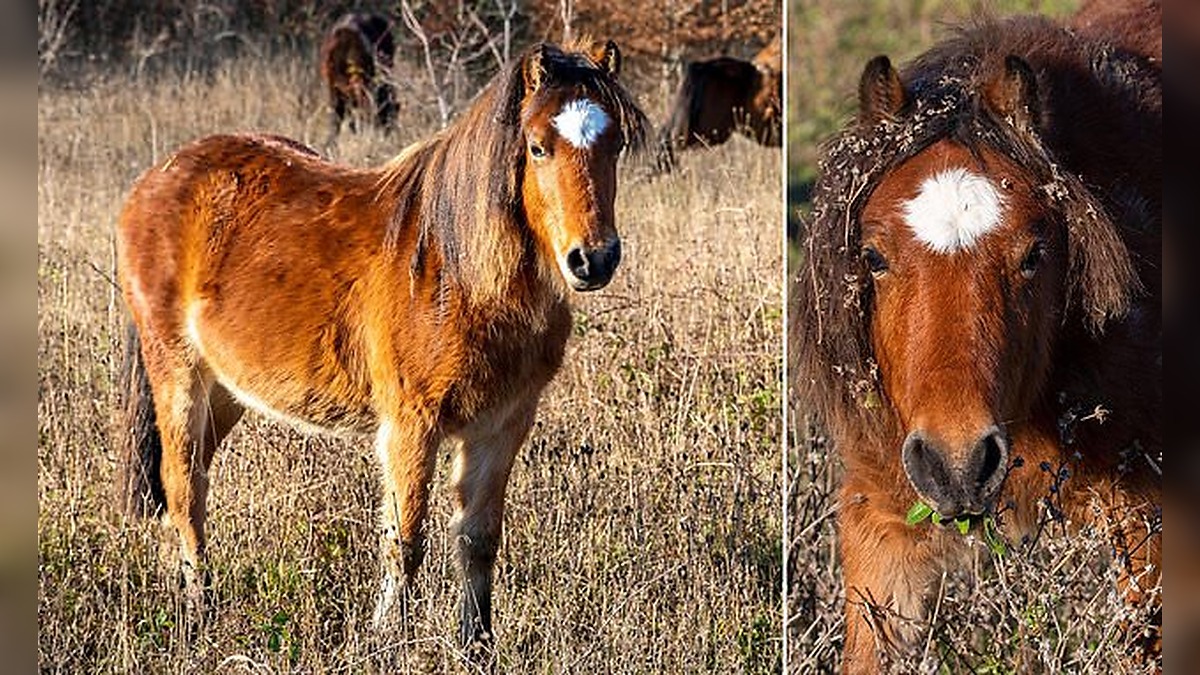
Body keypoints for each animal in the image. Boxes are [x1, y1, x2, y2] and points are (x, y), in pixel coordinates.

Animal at [115, 39, 646, 657]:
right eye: (538, 146)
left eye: (616, 144)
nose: (593, 259)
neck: (458, 273)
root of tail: (156, 180)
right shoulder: (411, 424)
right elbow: (406, 538)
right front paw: (388, 637)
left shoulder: (503, 423)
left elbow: (479, 538)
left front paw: (476, 643)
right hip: (177, 374)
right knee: (183, 487)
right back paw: (200, 609)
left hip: (226, 390)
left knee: (188, 478)